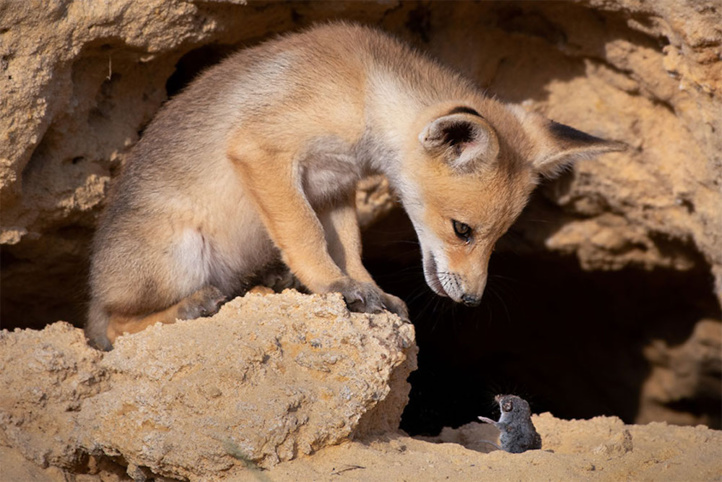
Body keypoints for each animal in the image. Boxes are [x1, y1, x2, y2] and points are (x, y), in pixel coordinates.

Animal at [86, 22, 624, 350]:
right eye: (463, 230)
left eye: (499, 239)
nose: (472, 301)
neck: (364, 91)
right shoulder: (263, 151)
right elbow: (305, 235)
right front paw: (331, 286)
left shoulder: (334, 187)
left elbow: (350, 248)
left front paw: (368, 290)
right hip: (179, 254)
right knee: (112, 327)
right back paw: (191, 306)